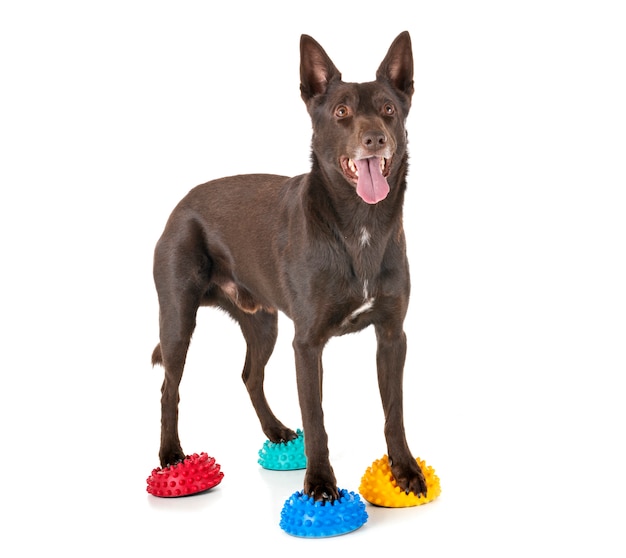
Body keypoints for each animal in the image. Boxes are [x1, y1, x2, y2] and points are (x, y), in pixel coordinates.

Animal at [151, 30, 426, 504]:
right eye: (341, 112)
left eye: (389, 109)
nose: (375, 139)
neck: (359, 224)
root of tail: (182, 203)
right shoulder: (307, 344)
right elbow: (316, 418)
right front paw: (319, 482)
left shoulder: (392, 336)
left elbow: (395, 411)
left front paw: (404, 470)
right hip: (177, 319)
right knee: (171, 387)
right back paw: (171, 454)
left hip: (264, 323)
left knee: (250, 375)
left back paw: (275, 430)